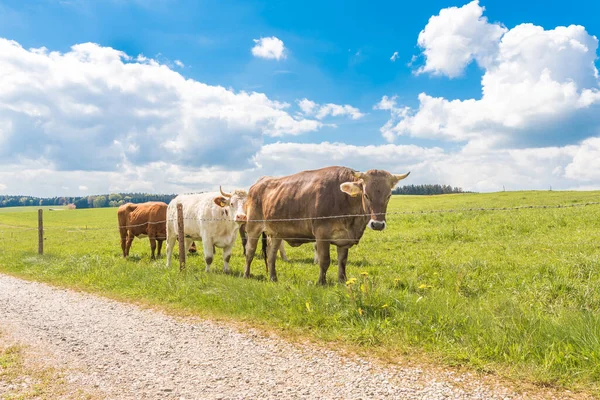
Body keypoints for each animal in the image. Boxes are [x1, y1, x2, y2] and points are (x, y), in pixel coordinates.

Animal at [241, 166, 410, 284]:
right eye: (366, 195)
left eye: (389, 195)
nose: (377, 224)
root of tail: (259, 182)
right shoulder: (322, 234)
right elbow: (325, 260)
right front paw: (321, 282)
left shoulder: (344, 239)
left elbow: (342, 261)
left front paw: (342, 281)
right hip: (253, 227)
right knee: (250, 252)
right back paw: (246, 274)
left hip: (276, 232)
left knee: (271, 255)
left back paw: (273, 278)